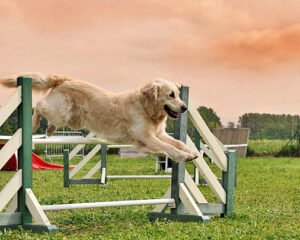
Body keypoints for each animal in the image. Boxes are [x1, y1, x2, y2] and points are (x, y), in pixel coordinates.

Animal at [0, 73, 199, 162]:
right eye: (171, 95)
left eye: (179, 94)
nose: (185, 107)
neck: (147, 109)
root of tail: (64, 79)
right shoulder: (147, 136)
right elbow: (169, 147)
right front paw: (184, 156)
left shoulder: (158, 135)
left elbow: (177, 142)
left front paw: (192, 151)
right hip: (61, 110)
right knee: (40, 106)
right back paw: (34, 125)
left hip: (72, 119)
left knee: (49, 116)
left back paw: (50, 129)